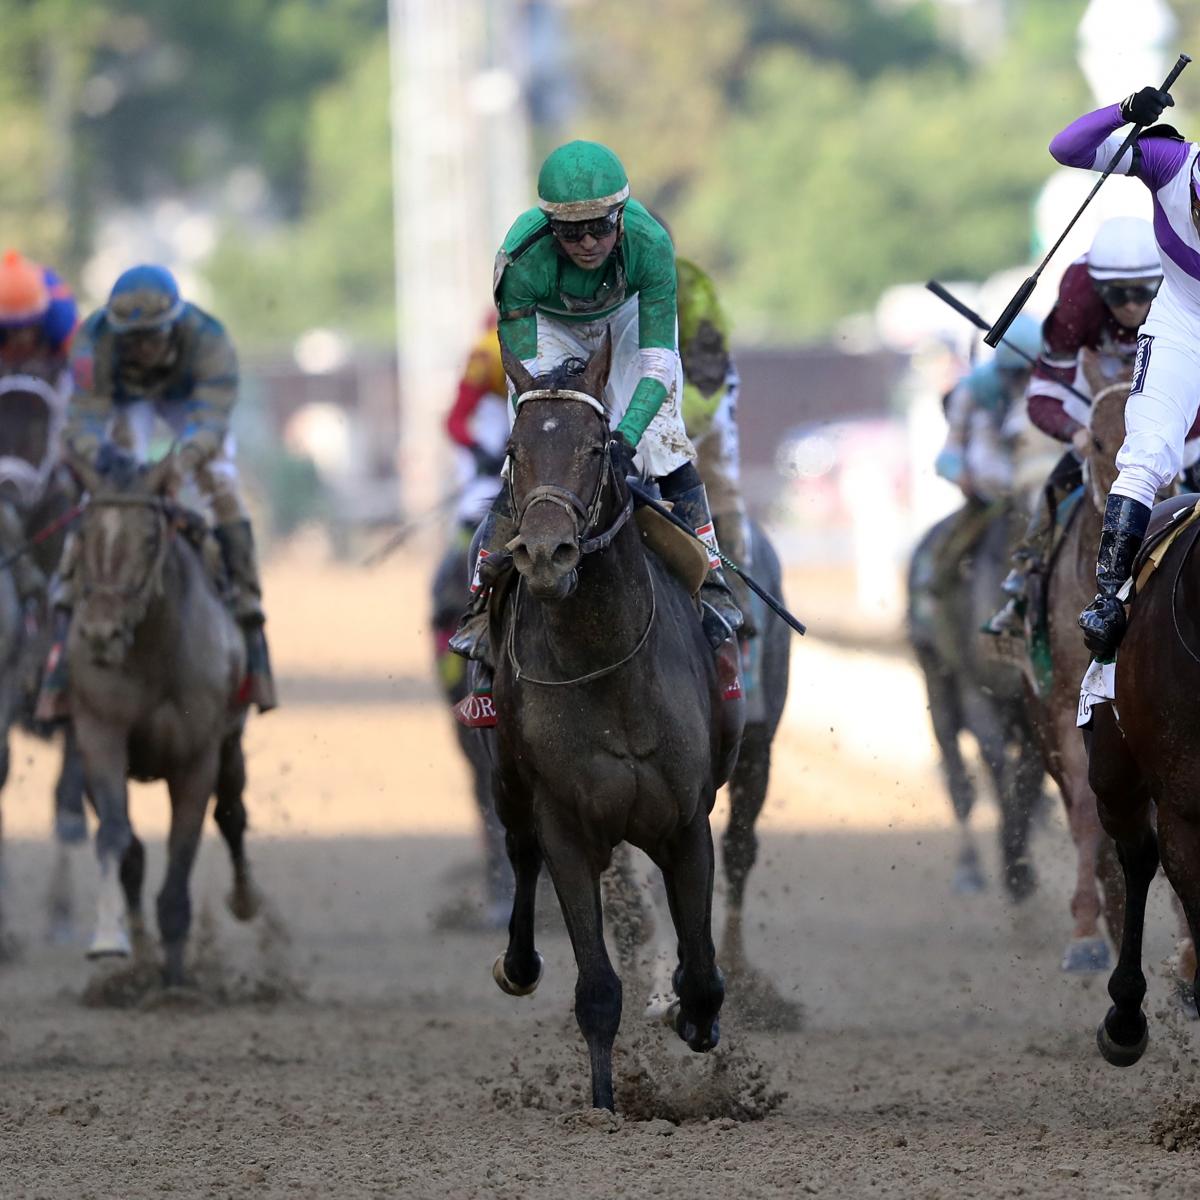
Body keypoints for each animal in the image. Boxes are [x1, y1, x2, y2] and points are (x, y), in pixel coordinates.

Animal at [63, 451, 258, 984]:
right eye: (85, 533)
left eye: (150, 538)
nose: (101, 633)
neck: (153, 652)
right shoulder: (100, 734)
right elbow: (116, 837)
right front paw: (112, 939)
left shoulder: (197, 756)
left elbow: (184, 846)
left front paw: (176, 978)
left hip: (231, 744)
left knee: (231, 813)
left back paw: (245, 899)